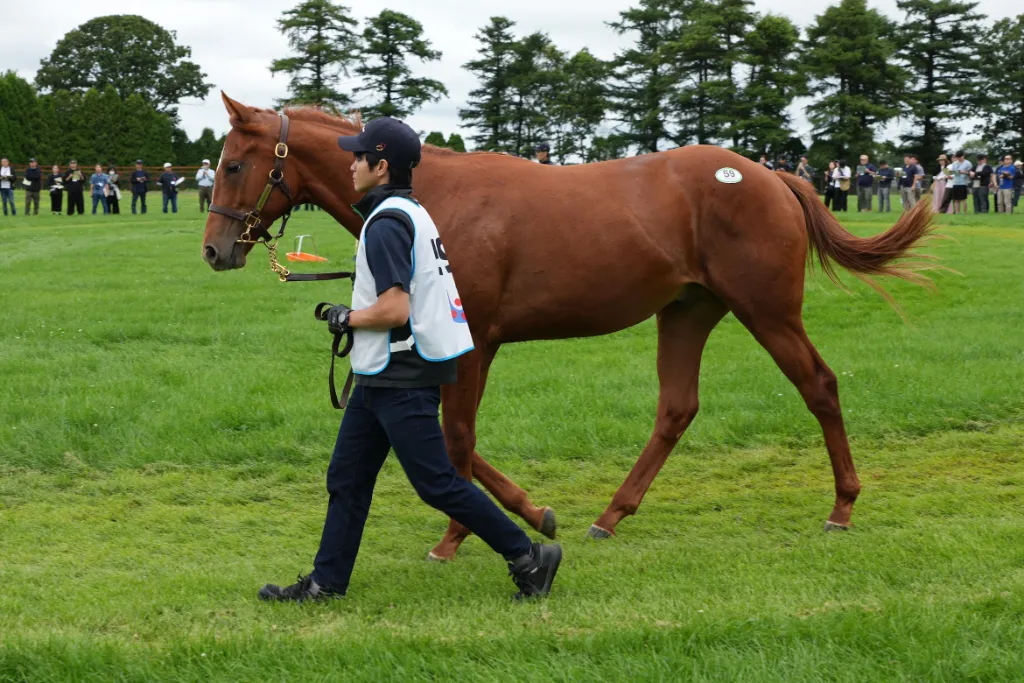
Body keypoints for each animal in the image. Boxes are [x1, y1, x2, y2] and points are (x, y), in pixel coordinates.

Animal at [202, 94, 936, 560]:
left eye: (233, 164)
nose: (215, 250)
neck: (431, 197)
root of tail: (771, 176)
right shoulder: (460, 349)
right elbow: (455, 441)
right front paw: (533, 512)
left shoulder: (472, 343)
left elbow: (458, 440)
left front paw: (455, 536)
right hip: (688, 310)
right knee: (677, 407)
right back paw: (611, 516)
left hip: (769, 310)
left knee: (819, 386)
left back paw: (842, 506)